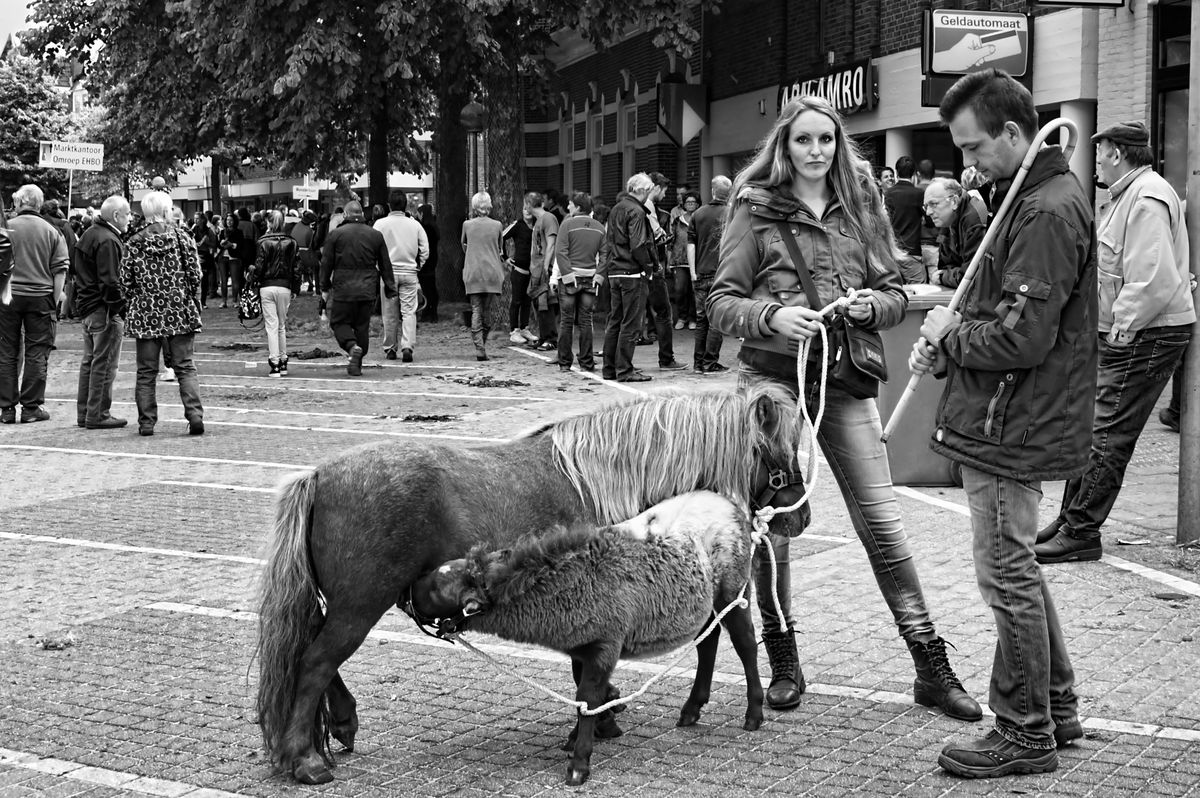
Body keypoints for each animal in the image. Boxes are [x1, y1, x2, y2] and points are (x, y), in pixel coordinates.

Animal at [258, 381, 811, 782]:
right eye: (780, 452)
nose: (798, 519)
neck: (596, 479)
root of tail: (318, 477)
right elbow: (585, 673)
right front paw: (600, 723)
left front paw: (598, 722)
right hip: (359, 606)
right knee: (315, 663)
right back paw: (305, 759)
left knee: (314, 657)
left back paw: (337, 727)